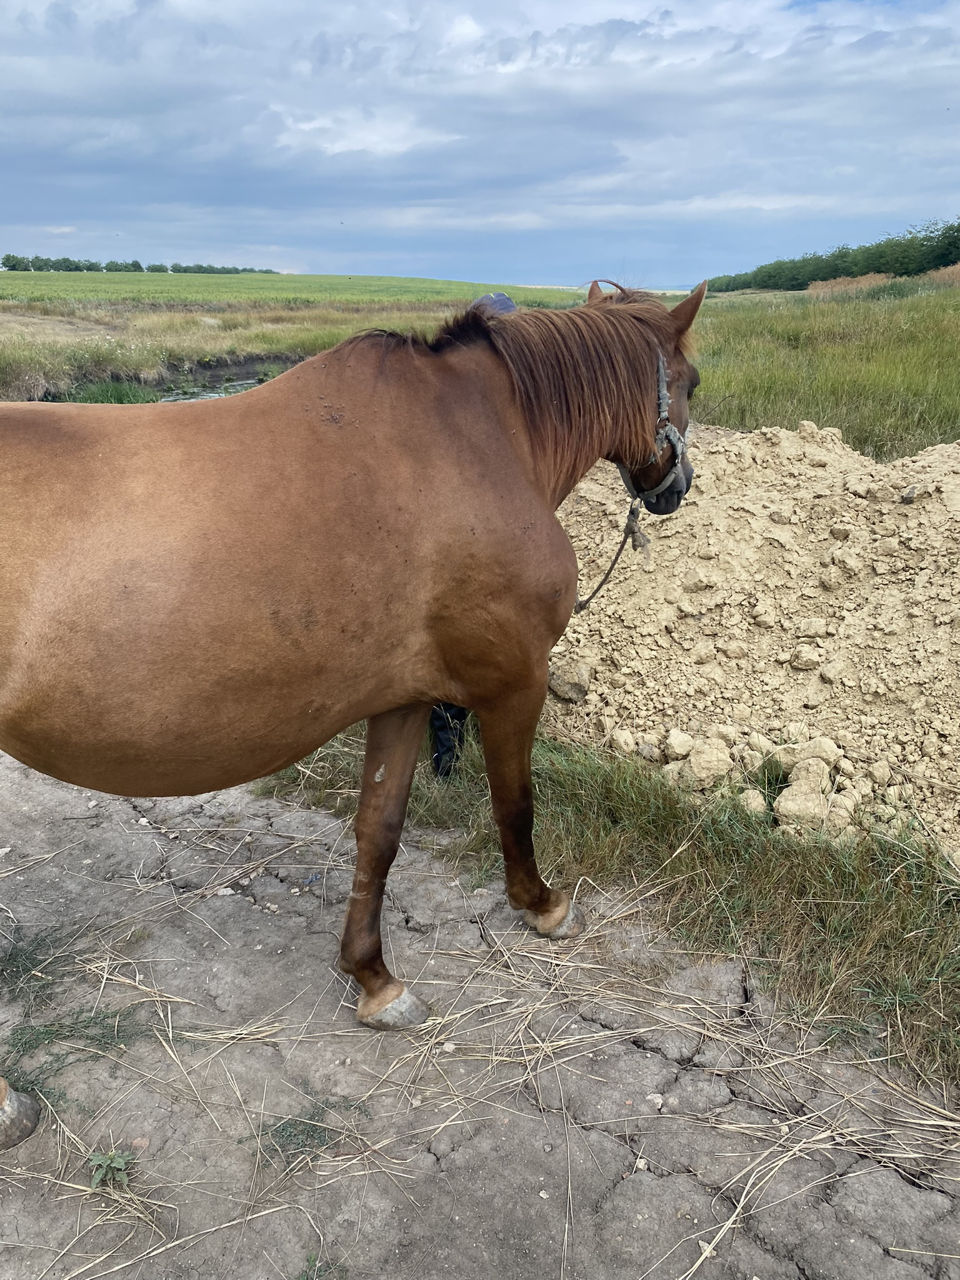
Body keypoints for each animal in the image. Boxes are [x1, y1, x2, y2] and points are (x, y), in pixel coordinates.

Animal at [0, 280, 706, 1152]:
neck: (479, 439)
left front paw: (374, 978)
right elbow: (516, 805)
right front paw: (542, 906)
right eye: (692, 380)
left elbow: (380, 831)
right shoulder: (514, 682)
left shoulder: (402, 699)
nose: (675, 487)